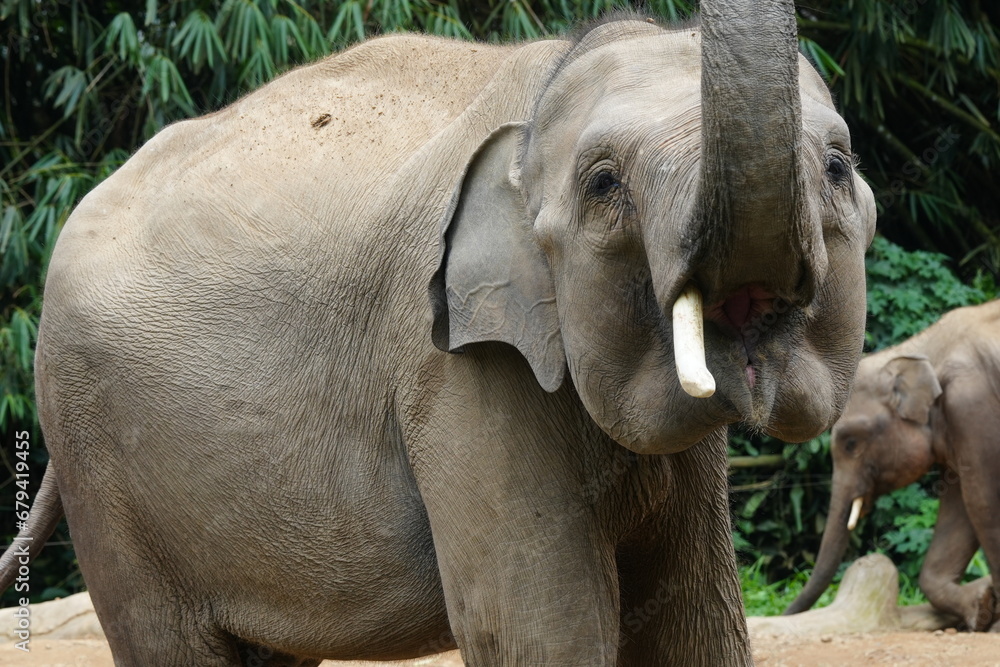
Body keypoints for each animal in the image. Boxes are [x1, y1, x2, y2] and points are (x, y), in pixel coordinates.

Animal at [0, 1, 876, 665]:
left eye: (837, 168)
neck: (552, 75)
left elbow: (693, 625)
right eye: (603, 184)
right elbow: (539, 629)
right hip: (99, 458)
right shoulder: (453, 366)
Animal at [784, 300, 1000, 631]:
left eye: (850, 443)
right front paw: (982, 607)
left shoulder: (972, 406)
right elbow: (960, 508)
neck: (923, 348)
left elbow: (982, 502)